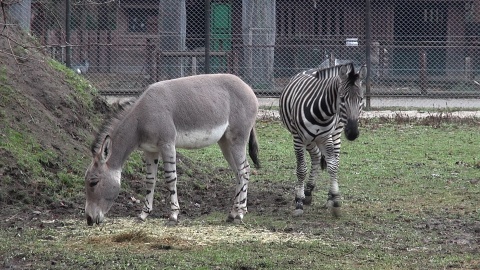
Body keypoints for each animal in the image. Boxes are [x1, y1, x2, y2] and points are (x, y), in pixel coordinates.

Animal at [278, 63, 368, 217]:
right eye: (342, 98)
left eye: (361, 99)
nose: (352, 133)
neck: (323, 113)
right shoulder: (298, 138)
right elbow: (301, 169)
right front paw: (299, 202)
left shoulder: (326, 138)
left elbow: (332, 166)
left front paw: (335, 199)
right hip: (309, 139)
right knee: (315, 156)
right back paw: (307, 192)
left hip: (334, 134)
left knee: (331, 159)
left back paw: (326, 196)